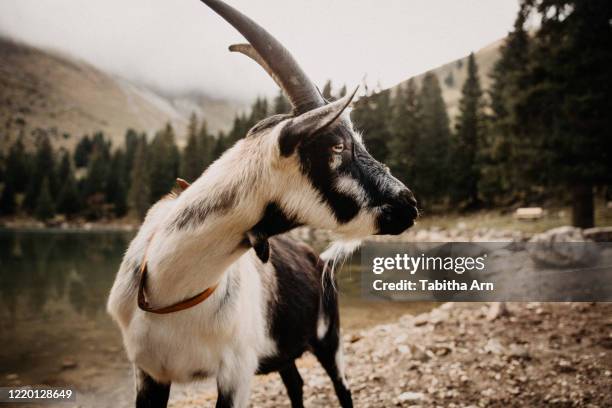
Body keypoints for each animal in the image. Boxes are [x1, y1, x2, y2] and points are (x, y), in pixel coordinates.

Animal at [107, 0, 418, 408]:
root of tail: (318, 258)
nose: (409, 203)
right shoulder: (148, 373)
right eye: (337, 145)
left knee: (342, 387)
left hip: (329, 337)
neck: (172, 289)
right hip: (283, 352)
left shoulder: (236, 372)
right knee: (296, 383)